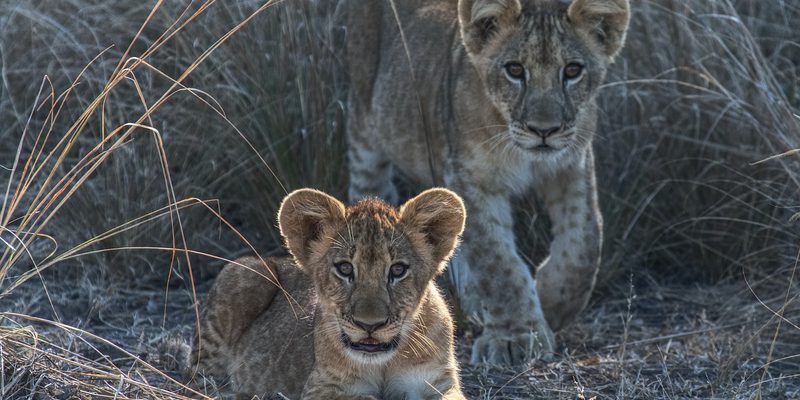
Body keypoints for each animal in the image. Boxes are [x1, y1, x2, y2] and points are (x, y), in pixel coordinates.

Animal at [189, 188, 467, 399]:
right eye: (345, 268)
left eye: (398, 270)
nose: (370, 325)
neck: (383, 363)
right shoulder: (322, 386)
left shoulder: (436, 382)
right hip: (247, 270)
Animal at [340, 0, 630, 364]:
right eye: (515, 70)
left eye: (573, 70)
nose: (544, 130)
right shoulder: (471, 178)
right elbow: (498, 262)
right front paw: (516, 337)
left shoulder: (572, 166)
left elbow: (585, 243)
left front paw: (552, 300)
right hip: (364, 125)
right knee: (370, 199)